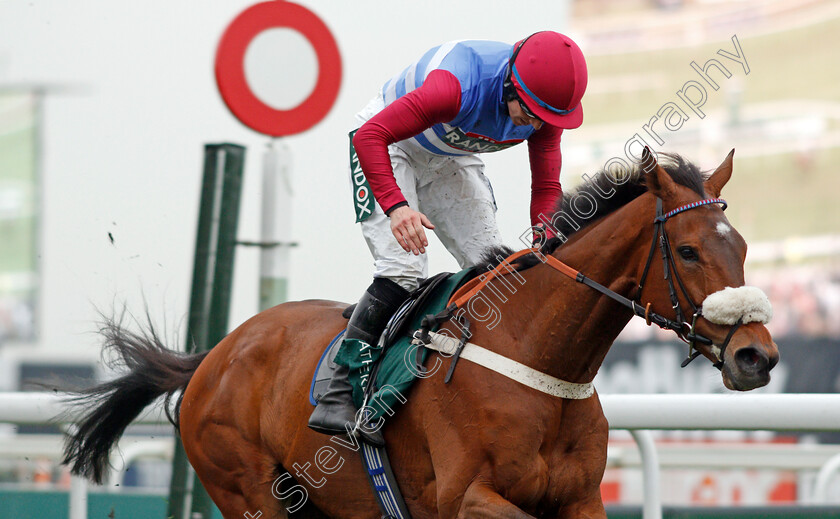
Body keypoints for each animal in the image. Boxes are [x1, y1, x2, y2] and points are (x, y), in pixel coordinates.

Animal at [65, 148, 780, 516]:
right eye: (687, 251)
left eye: (742, 245)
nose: (757, 356)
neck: (538, 363)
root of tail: (214, 356)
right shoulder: (465, 497)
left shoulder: (581, 500)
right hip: (250, 493)